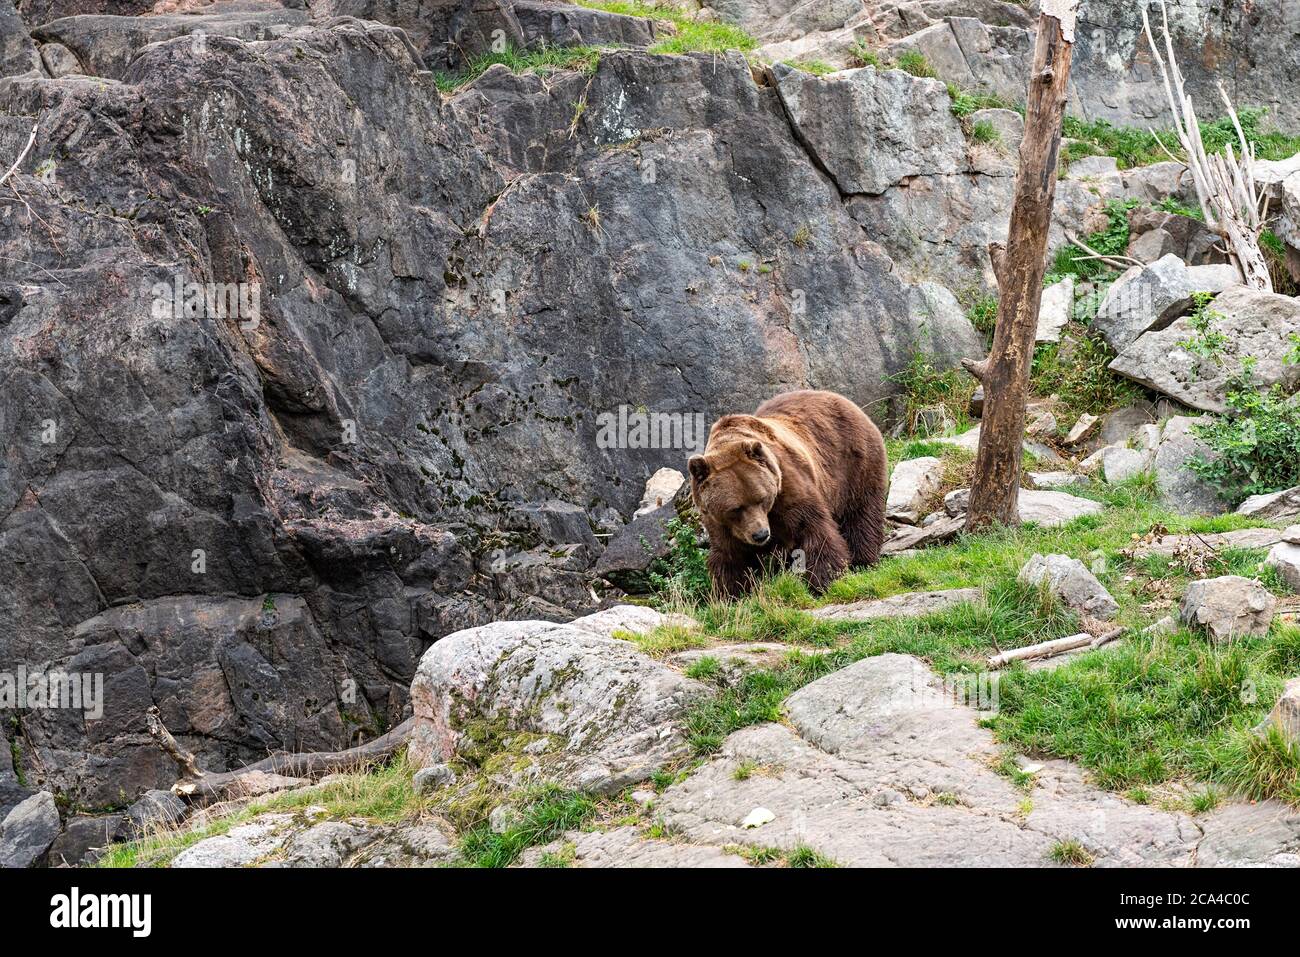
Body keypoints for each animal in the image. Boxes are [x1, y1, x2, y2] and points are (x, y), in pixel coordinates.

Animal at [687, 389, 887, 598]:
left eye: (762, 499)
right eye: (735, 508)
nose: (761, 534)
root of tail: (843, 400)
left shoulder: (787, 485)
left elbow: (812, 528)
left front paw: (824, 579)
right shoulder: (720, 523)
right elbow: (730, 555)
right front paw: (731, 593)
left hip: (854, 464)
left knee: (861, 513)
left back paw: (862, 560)